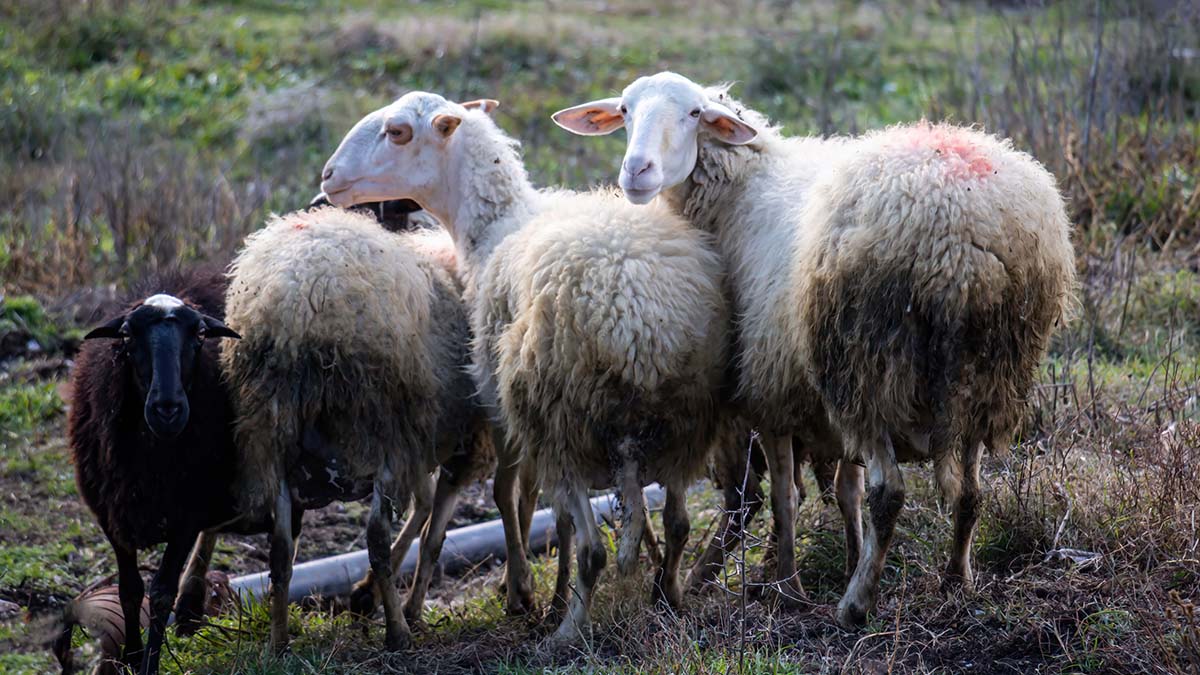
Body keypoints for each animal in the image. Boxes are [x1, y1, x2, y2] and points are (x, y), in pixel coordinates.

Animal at [220, 207, 492, 648]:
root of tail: (298, 299)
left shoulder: (422, 446)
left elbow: (425, 513)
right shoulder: (443, 447)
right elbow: (430, 530)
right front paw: (397, 607)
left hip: (271, 435)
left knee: (280, 551)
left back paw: (279, 641)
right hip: (382, 431)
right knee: (379, 537)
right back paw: (397, 631)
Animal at [319, 91, 724, 638]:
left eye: (398, 132)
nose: (328, 177)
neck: (495, 225)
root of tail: (637, 325)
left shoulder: (505, 403)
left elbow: (510, 494)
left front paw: (524, 594)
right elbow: (541, 506)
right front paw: (539, 591)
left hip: (564, 415)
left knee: (595, 551)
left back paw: (568, 633)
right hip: (685, 418)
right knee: (678, 523)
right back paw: (669, 597)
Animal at [556, 73, 1075, 624]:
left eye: (695, 113)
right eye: (625, 111)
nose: (637, 171)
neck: (743, 190)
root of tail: (963, 236)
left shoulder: (770, 387)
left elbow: (785, 499)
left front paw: (788, 586)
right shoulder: (816, 402)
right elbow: (845, 490)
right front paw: (843, 557)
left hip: (868, 364)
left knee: (889, 493)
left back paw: (855, 605)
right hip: (989, 372)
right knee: (972, 492)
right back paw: (956, 580)